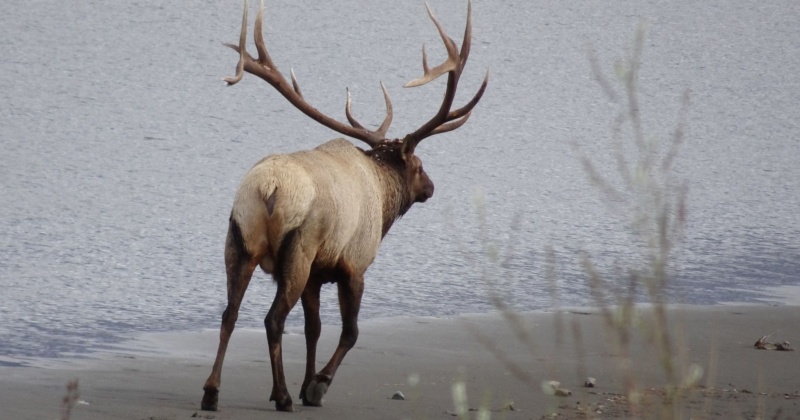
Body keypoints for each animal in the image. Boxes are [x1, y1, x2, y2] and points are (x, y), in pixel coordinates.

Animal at [202, 0, 488, 414]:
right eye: (419, 165)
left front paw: (306, 384)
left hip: (239, 240)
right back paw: (282, 396)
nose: (431, 187)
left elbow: (313, 329)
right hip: (298, 249)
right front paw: (316, 386)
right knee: (273, 319)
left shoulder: (317, 275)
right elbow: (350, 332)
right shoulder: (353, 264)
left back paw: (212, 391)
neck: (384, 203)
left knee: (230, 313)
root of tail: (268, 188)